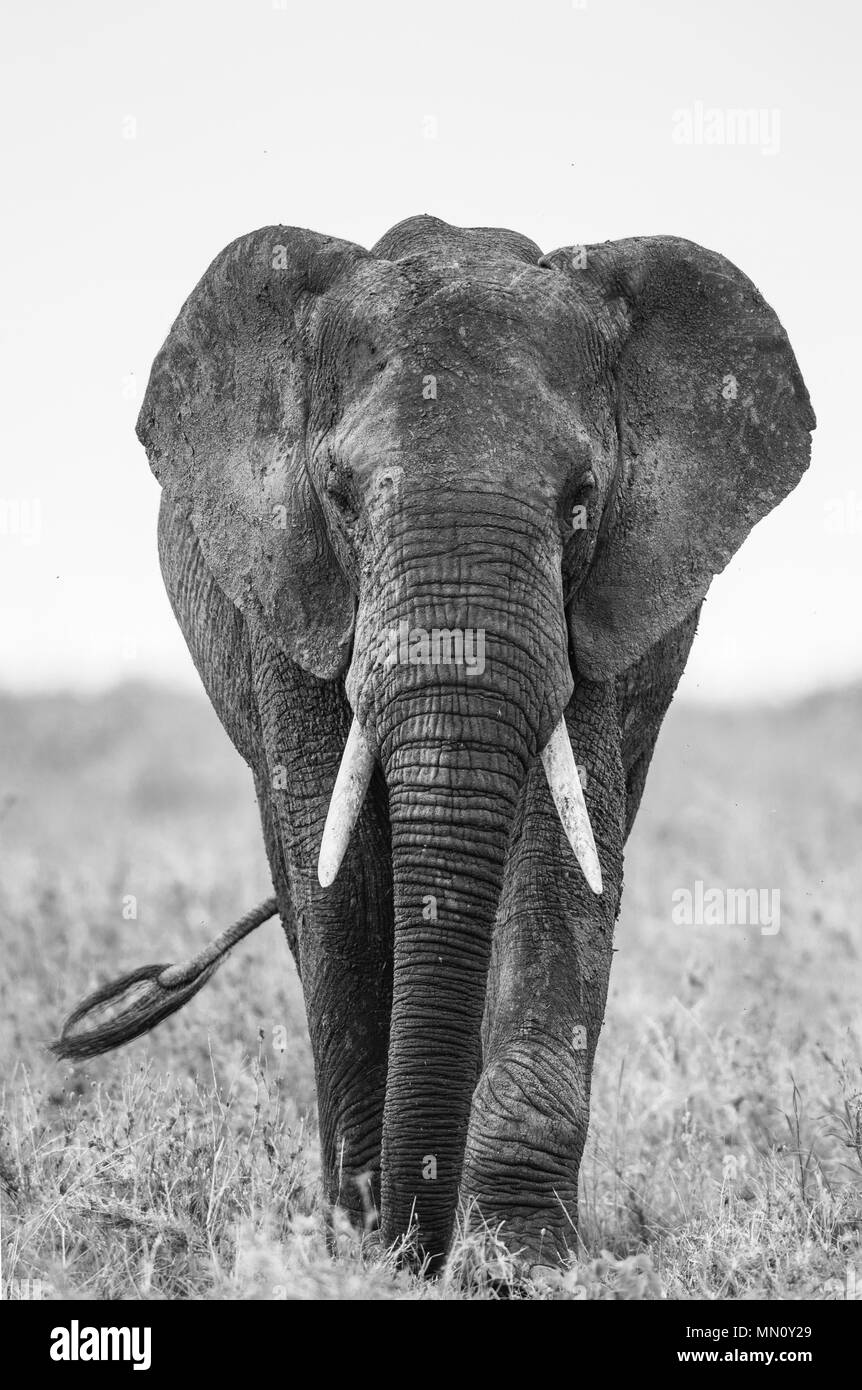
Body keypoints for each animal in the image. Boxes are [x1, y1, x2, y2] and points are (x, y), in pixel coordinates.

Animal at [56, 215, 814, 1273]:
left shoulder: (593, 610)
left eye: (581, 498)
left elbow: (560, 861)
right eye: (339, 496)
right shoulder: (295, 594)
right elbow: (339, 877)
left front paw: (515, 1259)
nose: (413, 1241)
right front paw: (368, 1241)